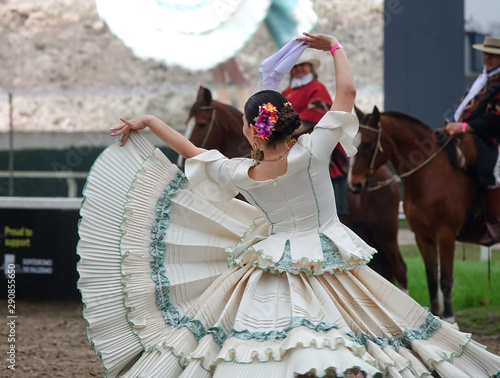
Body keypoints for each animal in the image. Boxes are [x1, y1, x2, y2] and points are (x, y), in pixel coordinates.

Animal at [182, 88, 408, 290]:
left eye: (201, 124)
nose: (181, 161)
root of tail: (387, 176)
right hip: (370, 230)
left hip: (385, 231)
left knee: (400, 269)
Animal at [348, 106, 484, 322]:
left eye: (368, 143)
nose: (354, 185)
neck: (432, 175)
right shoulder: (423, 236)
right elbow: (432, 279)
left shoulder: (446, 235)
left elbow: (445, 279)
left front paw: (450, 320)